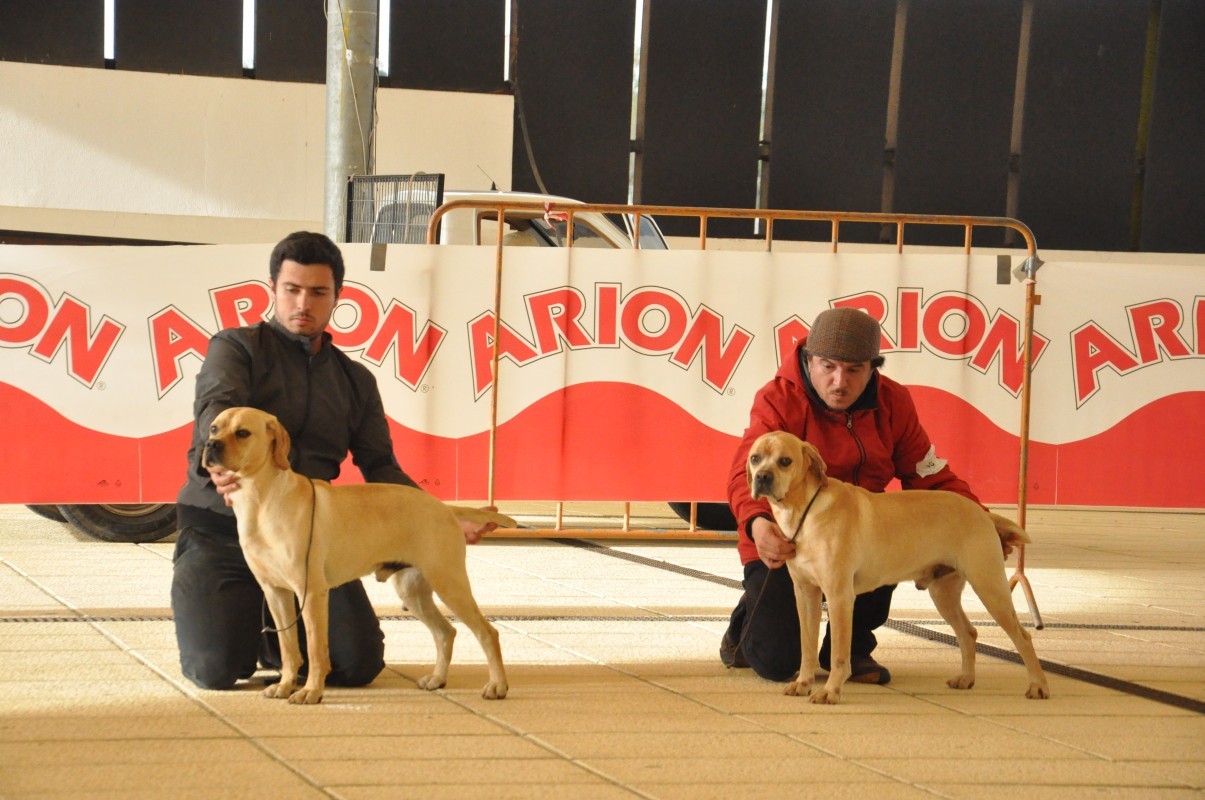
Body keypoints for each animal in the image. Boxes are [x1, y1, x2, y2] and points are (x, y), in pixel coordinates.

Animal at [202, 406, 514, 705]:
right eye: (214, 427)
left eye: (243, 432)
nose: (210, 445)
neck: (261, 503)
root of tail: (444, 507)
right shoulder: (275, 592)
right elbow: (289, 648)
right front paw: (284, 685)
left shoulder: (311, 593)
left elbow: (315, 650)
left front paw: (310, 691)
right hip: (413, 591)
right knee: (445, 632)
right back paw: (437, 679)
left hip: (449, 583)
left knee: (487, 633)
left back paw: (497, 686)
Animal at [746, 431, 1049, 704]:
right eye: (755, 458)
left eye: (785, 461)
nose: (762, 477)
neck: (804, 512)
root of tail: (982, 513)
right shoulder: (805, 594)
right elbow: (807, 646)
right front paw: (803, 683)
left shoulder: (839, 596)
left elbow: (839, 654)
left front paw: (830, 690)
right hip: (944, 595)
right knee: (968, 633)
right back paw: (966, 678)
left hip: (990, 588)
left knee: (1023, 637)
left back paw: (1038, 685)